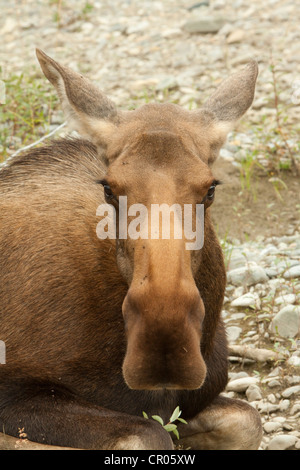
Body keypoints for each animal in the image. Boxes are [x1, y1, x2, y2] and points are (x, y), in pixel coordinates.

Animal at [0, 49, 262, 450]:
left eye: (211, 188)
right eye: (109, 189)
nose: (163, 345)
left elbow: (248, 421)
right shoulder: (15, 390)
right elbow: (147, 435)